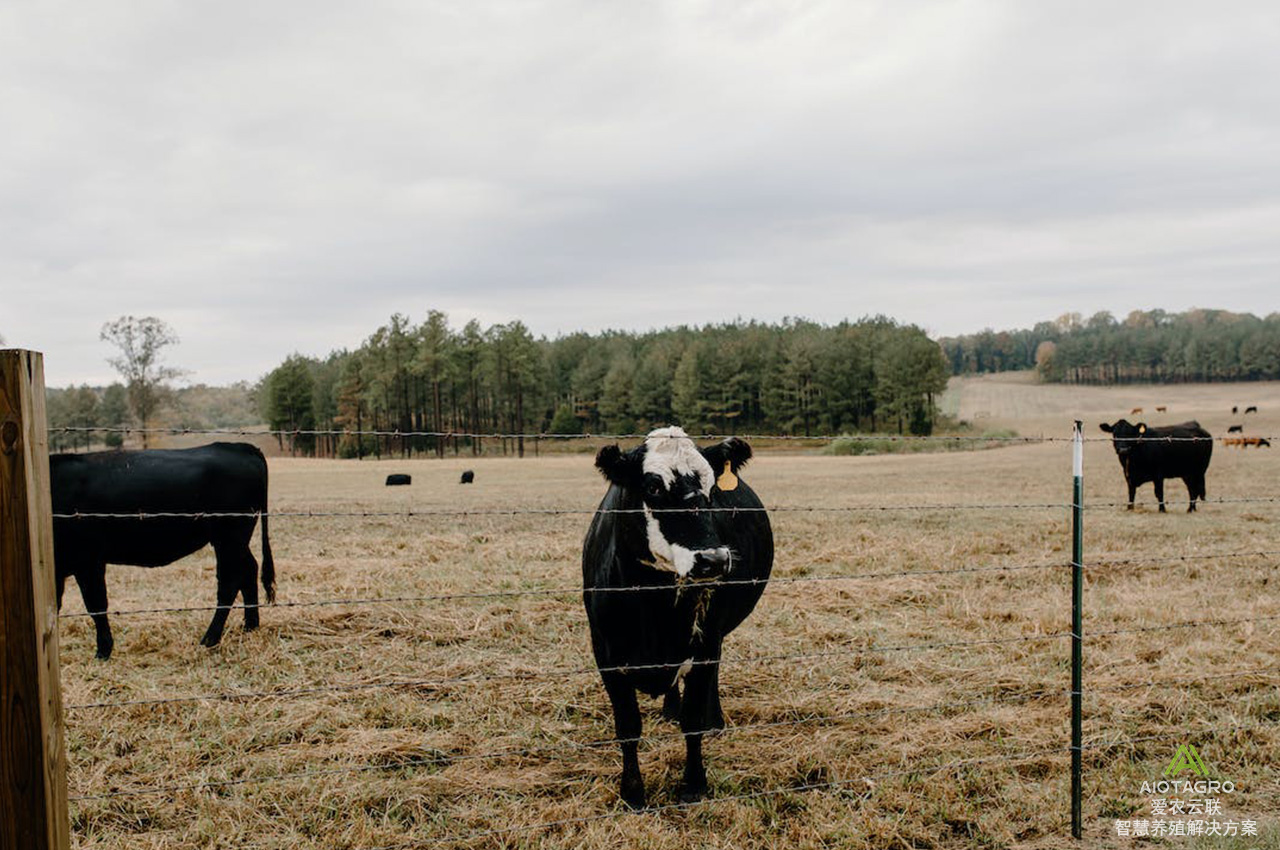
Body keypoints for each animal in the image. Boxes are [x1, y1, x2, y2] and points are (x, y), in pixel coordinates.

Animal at [50, 440, 275, 660]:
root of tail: (241, 446)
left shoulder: (88, 560)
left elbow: (96, 605)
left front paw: (103, 650)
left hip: (230, 538)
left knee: (229, 583)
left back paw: (210, 639)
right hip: (234, 541)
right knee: (249, 570)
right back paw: (250, 627)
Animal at [586, 427, 773, 809]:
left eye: (713, 489)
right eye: (653, 487)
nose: (714, 559)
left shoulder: (704, 644)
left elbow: (693, 720)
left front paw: (694, 784)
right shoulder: (606, 653)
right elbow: (628, 728)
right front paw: (633, 793)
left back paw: (714, 719)